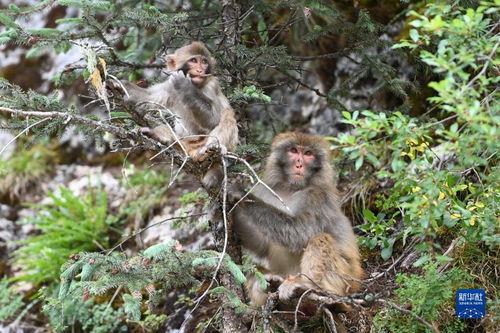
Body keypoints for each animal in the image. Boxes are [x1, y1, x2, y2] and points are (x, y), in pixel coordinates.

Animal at [119, 41, 240, 187]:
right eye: (193, 60)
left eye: (204, 62)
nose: (200, 70)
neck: (197, 86)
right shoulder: (170, 85)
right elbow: (148, 98)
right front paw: (118, 84)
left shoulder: (212, 85)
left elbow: (214, 119)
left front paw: (184, 85)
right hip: (184, 144)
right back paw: (158, 135)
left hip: (209, 145)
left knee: (228, 116)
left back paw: (211, 149)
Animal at [229, 131, 364, 310]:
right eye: (293, 150)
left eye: (308, 153)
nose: (299, 164)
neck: (290, 188)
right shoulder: (264, 190)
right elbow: (262, 246)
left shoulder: (317, 197)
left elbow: (299, 233)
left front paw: (241, 194)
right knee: (254, 269)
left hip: (345, 279)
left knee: (319, 239)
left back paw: (311, 289)